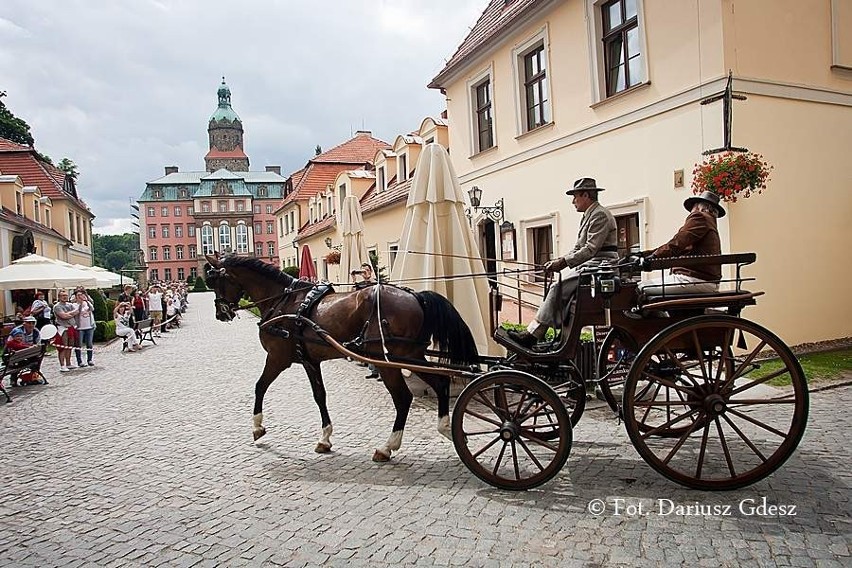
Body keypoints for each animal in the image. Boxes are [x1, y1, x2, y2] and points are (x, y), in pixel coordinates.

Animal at [201, 255, 480, 460]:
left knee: (403, 398)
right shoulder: (310, 361)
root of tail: (415, 296)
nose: (221, 313)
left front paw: (257, 427)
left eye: (215, 281)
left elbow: (260, 386)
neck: (285, 302)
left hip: (388, 361)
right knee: (440, 383)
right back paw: (446, 428)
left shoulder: (278, 358)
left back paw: (387, 447)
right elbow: (320, 396)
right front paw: (325, 439)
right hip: (411, 355)